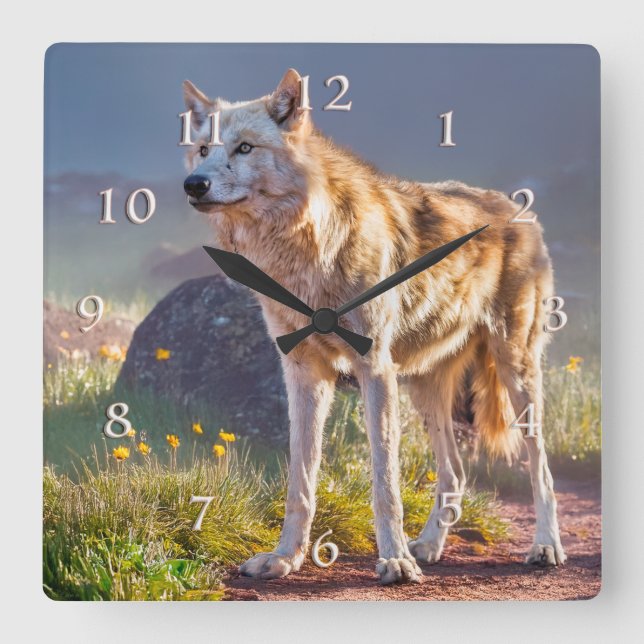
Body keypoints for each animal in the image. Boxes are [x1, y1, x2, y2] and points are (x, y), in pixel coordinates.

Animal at [182, 68, 566, 585]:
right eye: (203, 149)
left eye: (244, 148)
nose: (194, 184)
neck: (306, 250)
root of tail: (516, 206)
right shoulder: (303, 374)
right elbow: (300, 481)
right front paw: (285, 558)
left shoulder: (374, 370)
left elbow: (385, 482)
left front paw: (395, 561)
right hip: (425, 388)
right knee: (455, 472)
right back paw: (429, 546)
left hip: (516, 374)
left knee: (540, 470)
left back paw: (544, 547)